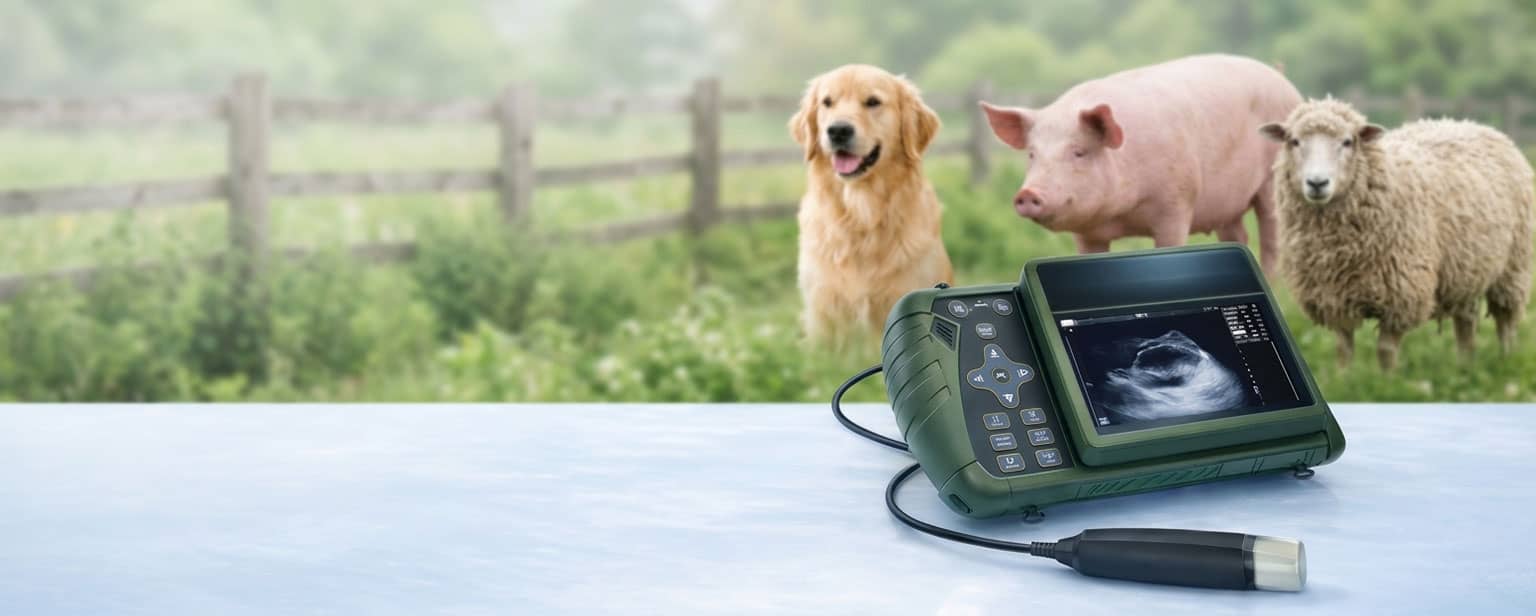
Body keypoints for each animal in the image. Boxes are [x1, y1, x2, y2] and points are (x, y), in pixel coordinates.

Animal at [1259, 98, 1534, 370]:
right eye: (1294, 141)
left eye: (1348, 141)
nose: (1317, 183)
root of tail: (1472, 124)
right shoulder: (1333, 296)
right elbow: (1344, 349)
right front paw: (1344, 376)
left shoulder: (1401, 295)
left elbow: (1385, 350)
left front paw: (1386, 379)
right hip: (1467, 269)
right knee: (1466, 322)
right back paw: (1465, 366)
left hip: (1513, 268)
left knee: (1506, 322)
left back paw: (1506, 360)